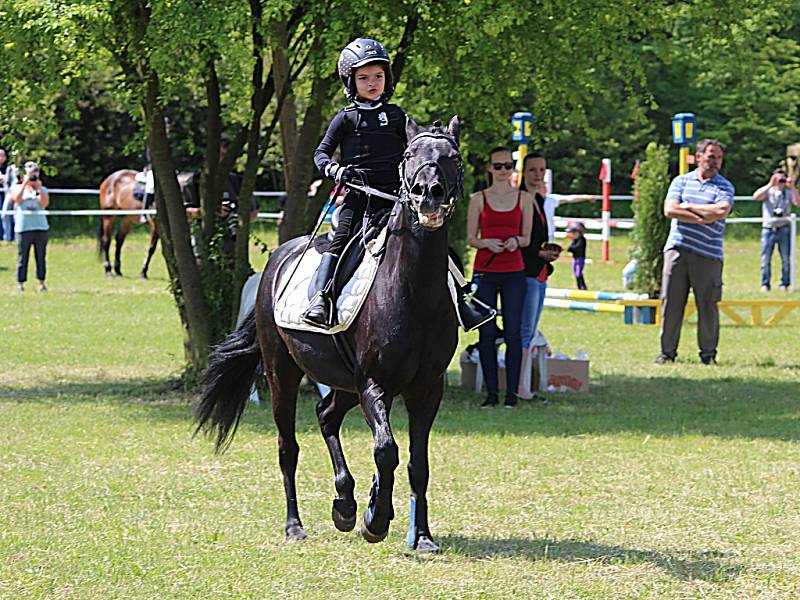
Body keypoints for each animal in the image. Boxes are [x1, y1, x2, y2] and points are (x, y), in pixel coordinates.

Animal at [195, 115, 462, 552]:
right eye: (409, 154)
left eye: (453, 156)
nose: (428, 196)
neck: (413, 292)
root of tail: (278, 260)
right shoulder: (374, 384)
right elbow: (385, 450)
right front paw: (376, 520)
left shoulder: (426, 389)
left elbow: (417, 464)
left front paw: (419, 535)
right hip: (282, 374)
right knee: (288, 448)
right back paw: (296, 525)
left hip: (342, 383)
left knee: (325, 416)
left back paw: (344, 503)